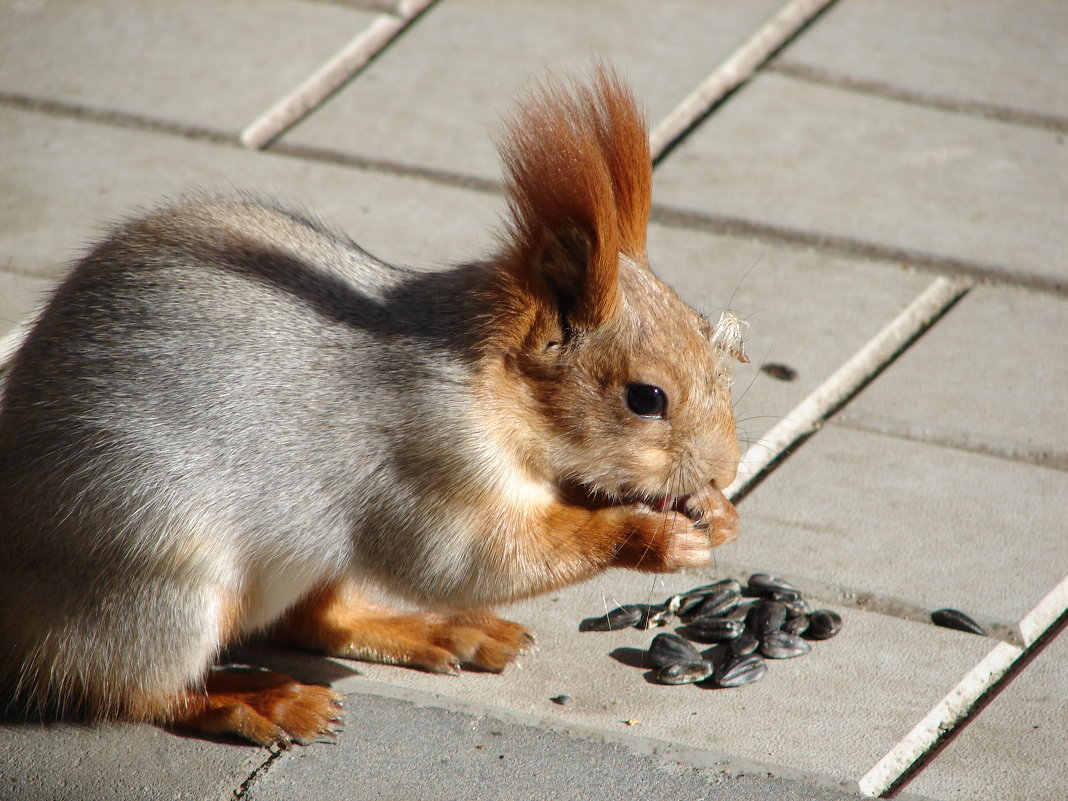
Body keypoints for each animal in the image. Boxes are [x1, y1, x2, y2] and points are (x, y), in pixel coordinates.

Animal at [0, 67, 743, 747]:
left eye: (705, 328)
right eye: (646, 398)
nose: (728, 469)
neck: (488, 389)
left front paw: (717, 514)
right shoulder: (425, 456)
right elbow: (465, 558)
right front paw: (650, 535)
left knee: (313, 618)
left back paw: (436, 627)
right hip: (159, 585)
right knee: (128, 688)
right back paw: (259, 700)